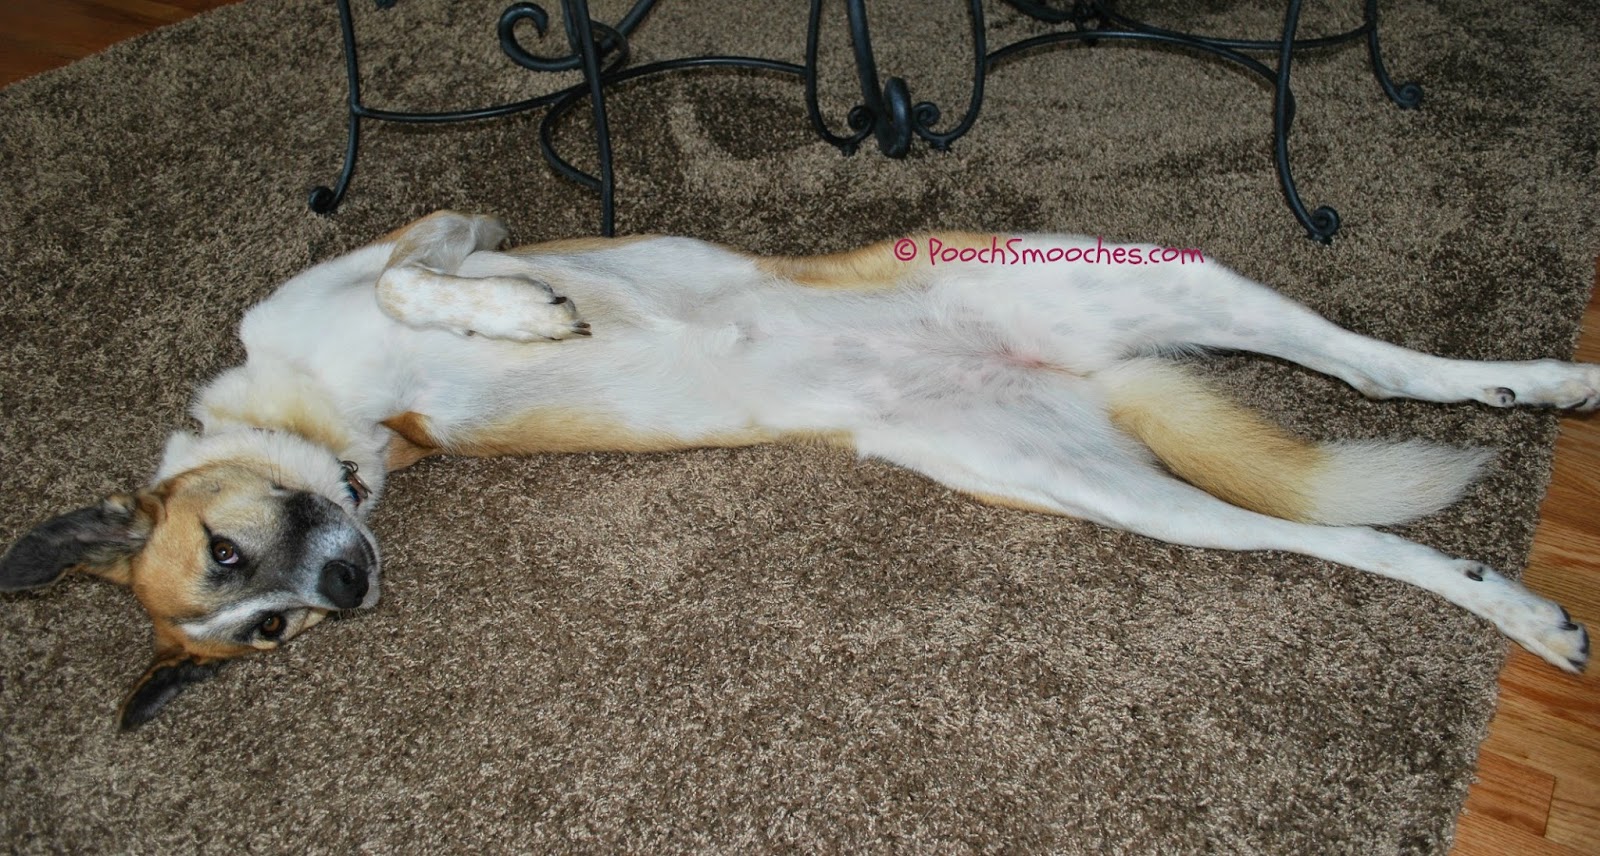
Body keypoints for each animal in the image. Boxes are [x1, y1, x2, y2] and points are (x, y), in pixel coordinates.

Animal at [2, 210, 1592, 729]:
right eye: (265, 627)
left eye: (231, 559)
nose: (351, 587)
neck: (324, 417)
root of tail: (1063, 372)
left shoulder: (436, 227)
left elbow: (424, 279)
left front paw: (523, 316)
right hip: (1107, 488)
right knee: (1350, 520)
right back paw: (1519, 597)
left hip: (1143, 271)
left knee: (1377, 367)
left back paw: (1556, 380)